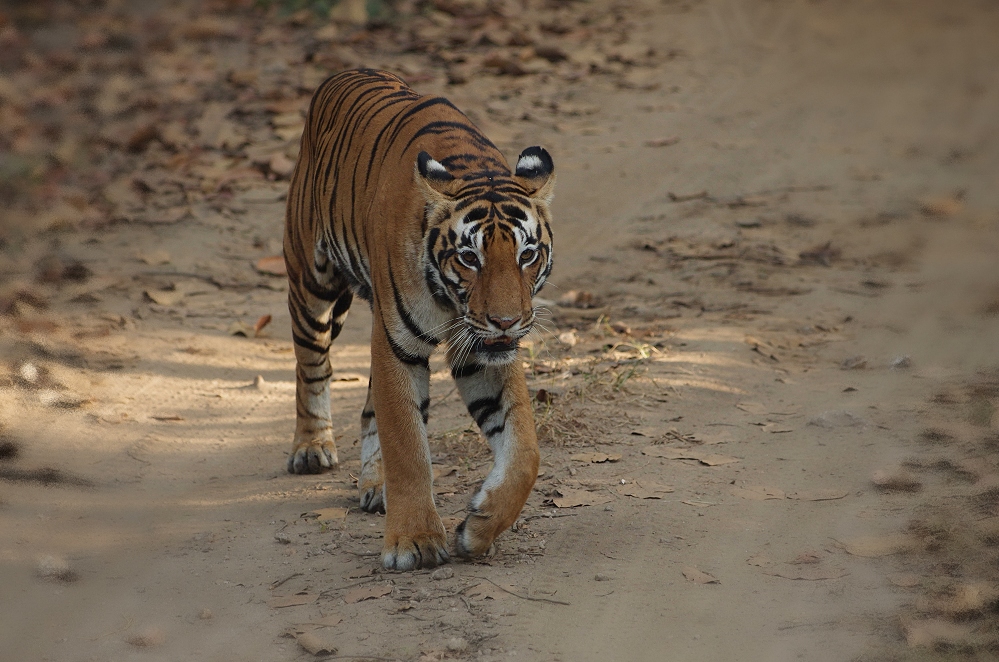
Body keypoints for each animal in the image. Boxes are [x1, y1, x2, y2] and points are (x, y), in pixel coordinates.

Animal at [284, 70, 556, 572]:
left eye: (527, 255)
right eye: (469, 258)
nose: (507, 321)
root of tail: (341, 74)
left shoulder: (483, 351)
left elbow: (525, 450)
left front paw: (478, 528)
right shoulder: (396, 344)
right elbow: (407, 444)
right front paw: (414, 542)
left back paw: (376, 486)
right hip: (312, 281)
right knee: (313, 365)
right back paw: (311, 448)